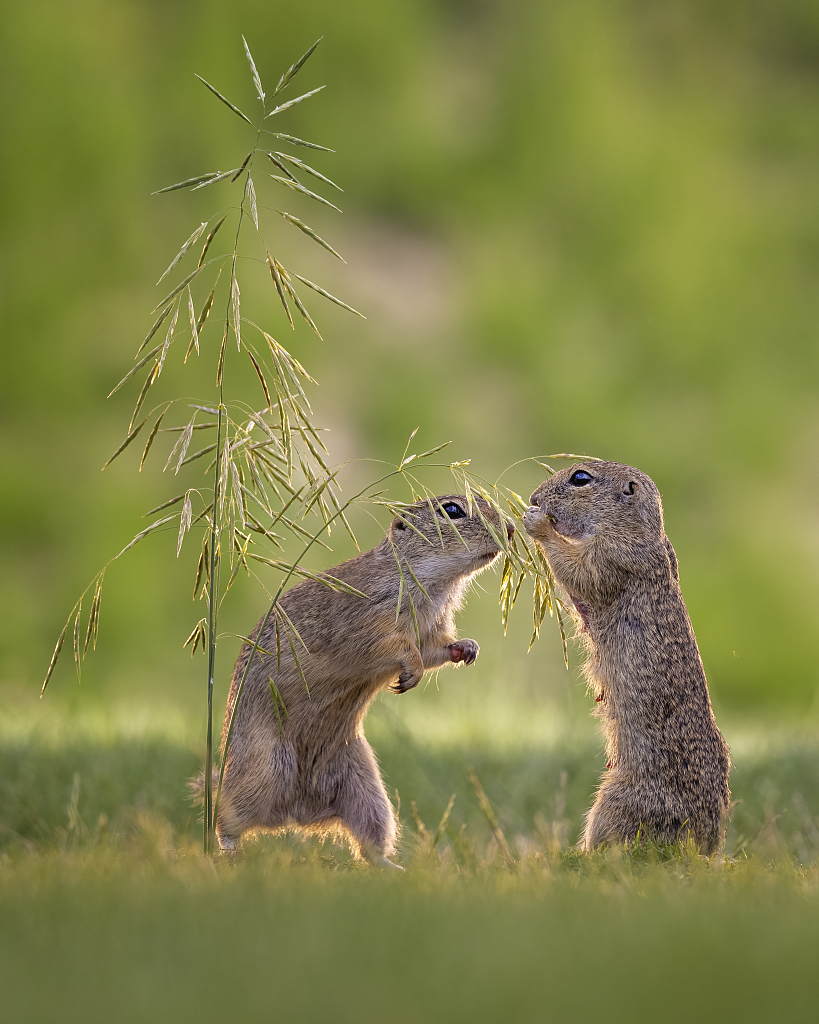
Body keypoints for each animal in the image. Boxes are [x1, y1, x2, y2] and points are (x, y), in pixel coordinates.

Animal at [209, 493, 511, 864]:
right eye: (452, 510)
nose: (510, 529)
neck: (433, 583)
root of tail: (297, 814)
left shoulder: (432, 631)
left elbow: (435, 649)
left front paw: (467, 648)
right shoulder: (369, 622)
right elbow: (396, 647)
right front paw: (410, 674)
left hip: (368, 792)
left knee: (370, 848)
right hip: (261, 770)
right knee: (224, 819)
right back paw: (230, 857)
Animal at [524, 460, 728, 851]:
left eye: (580, 478)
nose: (533, 497)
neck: (638, 529)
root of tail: (706, 844)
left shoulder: (612, 556)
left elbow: (580, 570)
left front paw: (536, 521)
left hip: (616, 802)